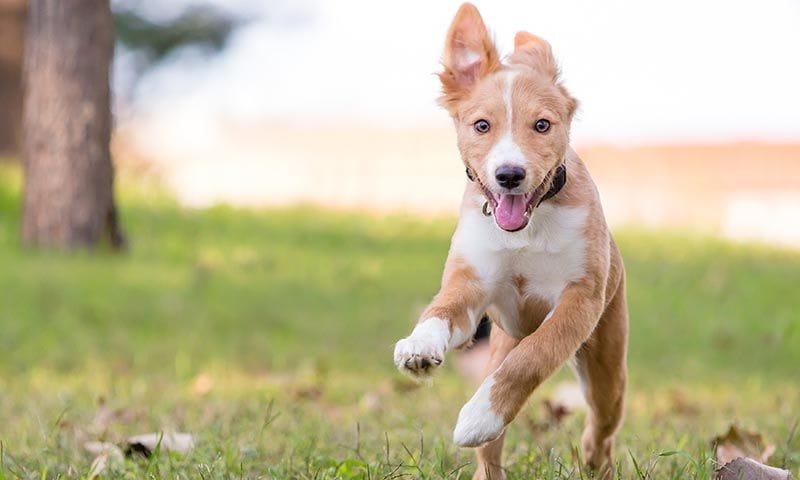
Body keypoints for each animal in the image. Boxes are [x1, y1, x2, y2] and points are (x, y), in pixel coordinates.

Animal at [394, 4, 632, 480]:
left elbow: (534, 357)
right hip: (500, 342)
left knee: (601, 426)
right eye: (481, 125)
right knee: (492, 448)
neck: (528, 228)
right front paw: (419, 346)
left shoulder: (581, 300)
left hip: (606, 362)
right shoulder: (471, 284)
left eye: (542, 124)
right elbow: (440, 310)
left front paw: (479, 416)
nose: (509, 175)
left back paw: (592, 460)